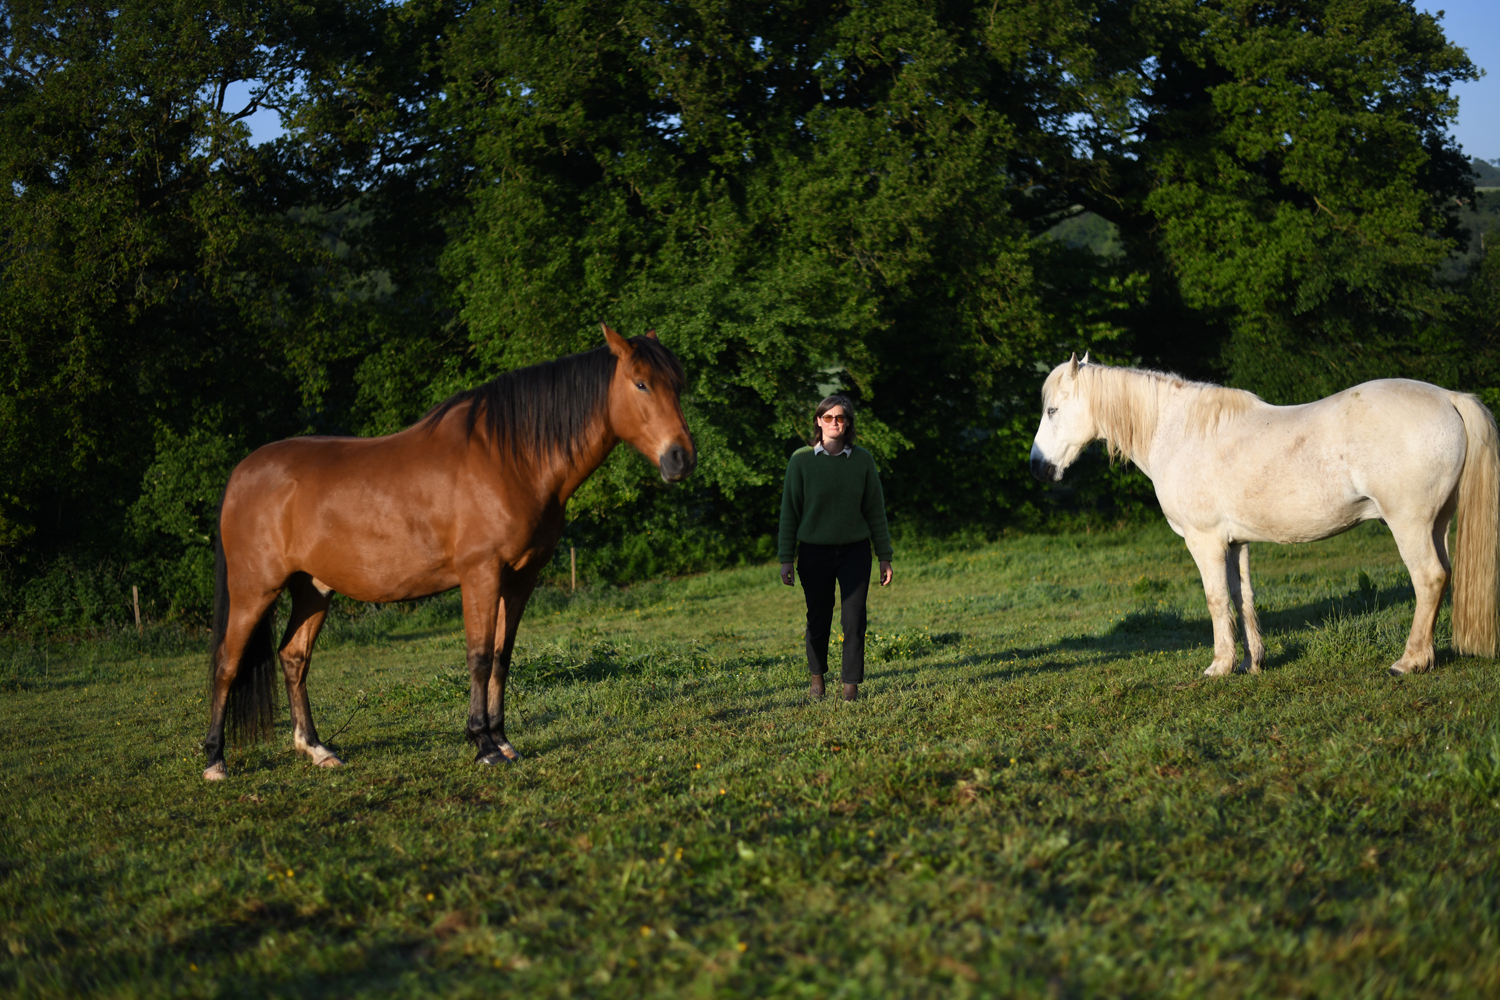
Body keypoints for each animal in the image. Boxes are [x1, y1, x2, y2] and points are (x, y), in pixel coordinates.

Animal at [202, 325, 695, 780]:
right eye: (640, 383)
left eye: (678, 383)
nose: (681, 459)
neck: (510, 459)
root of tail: (241, 474)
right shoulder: (481, 574)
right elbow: (478, 657)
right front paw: (484, 746)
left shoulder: (520, 578)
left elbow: (502, 657)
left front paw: (503, 740)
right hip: (254, 590)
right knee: (227, 664)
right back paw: (214, 760)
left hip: (313, 589)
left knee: (293, 657)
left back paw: (317, 749)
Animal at [1029, 354, 1500, 677]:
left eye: (1052, 410)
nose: (1038, 467)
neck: (1180, 432)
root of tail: (1448, 398)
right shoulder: (1235, 542)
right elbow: (1244, 598)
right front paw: (1252, 663)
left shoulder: (1205, 541)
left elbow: (1216, 600)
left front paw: (1219, 666)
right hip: (1437, 523)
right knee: (1443, 577)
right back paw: (1427, 657)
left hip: (1410, 524)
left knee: (1429, 579)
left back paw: (1408, 661)